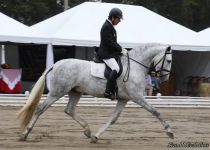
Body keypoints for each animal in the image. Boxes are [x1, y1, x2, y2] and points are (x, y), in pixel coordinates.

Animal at [17, 43, 173, 143]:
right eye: (169, 60)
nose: (165, 79)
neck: (135, 66)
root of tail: (55, 64)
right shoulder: (137, 97)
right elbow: (155, 111)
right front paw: (169, 131)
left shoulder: (124, 99)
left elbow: (113, 119)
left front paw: (96, 137)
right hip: (57, 92)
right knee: (40, 109)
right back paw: (24, 134)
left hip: (75, 92)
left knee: (69, 110)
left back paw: (87, 131)